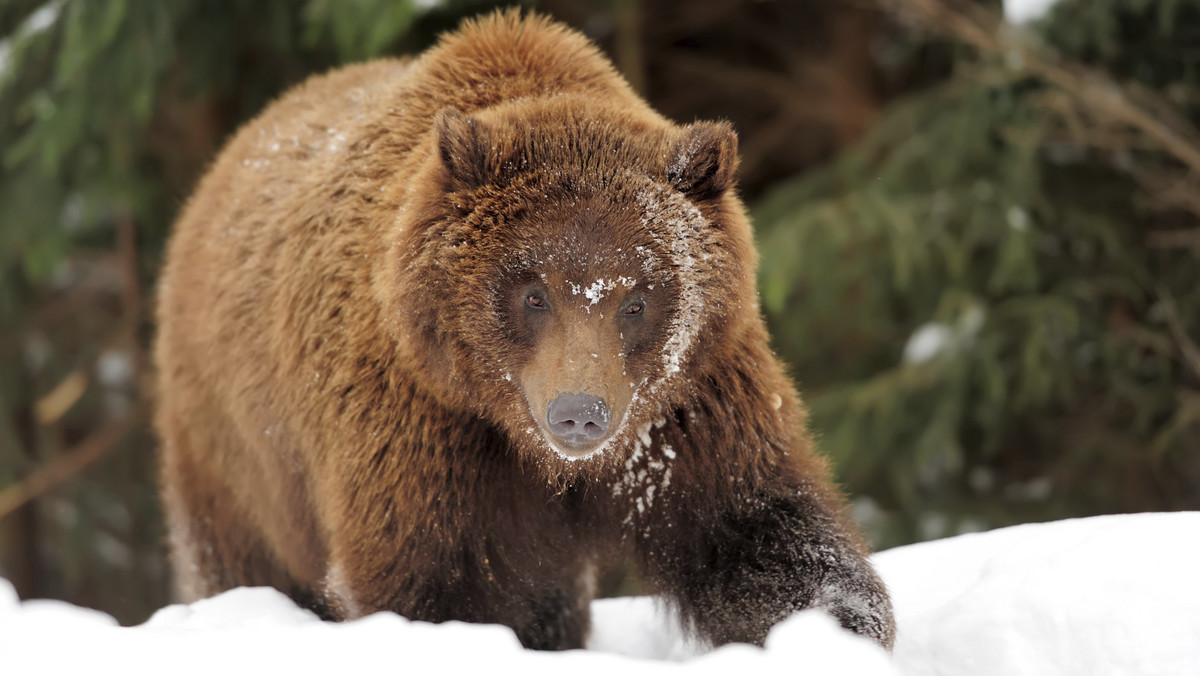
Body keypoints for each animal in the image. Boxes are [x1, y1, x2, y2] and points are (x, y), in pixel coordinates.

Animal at [154, 9, 892, 648]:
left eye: (636, 299)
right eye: (533, 293)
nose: (579, 413)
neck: (539, 457)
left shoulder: (688, 414)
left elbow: (762, 536)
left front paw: (834, 633)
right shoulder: (422, 427)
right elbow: (429, 581)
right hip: (236, 453)